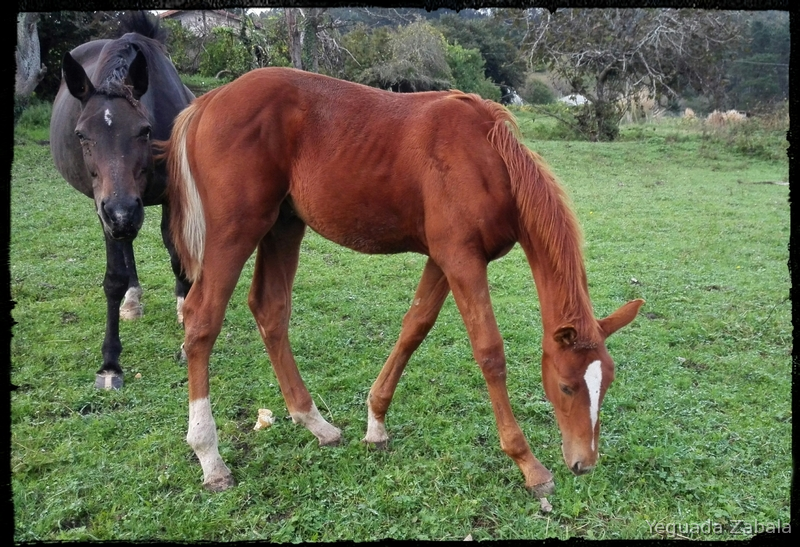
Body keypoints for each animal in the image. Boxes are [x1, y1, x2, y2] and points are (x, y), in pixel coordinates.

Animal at [50, 13, 193, 390]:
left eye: (144, 130)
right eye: (81, 134)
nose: (121, 211)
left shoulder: (173, 196)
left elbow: (179, 257)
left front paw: (188, 333)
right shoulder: (105, 208)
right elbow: (113, 278)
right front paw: (110, 363)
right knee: (125, 247)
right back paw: (132, 299)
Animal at [158, 67, 644, 497]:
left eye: (608, 382)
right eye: (566, 386)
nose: (584, 462)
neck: (488, 160)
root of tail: (207, 102)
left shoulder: (443, 259)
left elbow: (415, 327)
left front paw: (375, 423)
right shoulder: (462, 259)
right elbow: (490, 352)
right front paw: (529, 465)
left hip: (283, 225)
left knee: (269, 308)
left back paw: (315, 423)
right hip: (235, 231)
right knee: (201, 320)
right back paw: (209, 456)